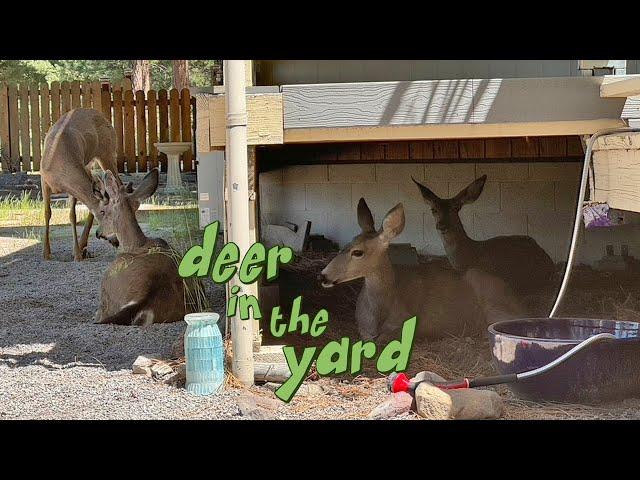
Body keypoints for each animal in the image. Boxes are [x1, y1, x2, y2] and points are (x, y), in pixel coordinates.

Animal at [40, 108, 122, 260]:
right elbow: (47, 213)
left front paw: (77, 254)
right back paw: (83, 247)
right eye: (104, 212)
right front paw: (46, 253)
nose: (116, 240)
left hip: (108, 152)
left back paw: (82, 247)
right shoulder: (44, 180)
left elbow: (72, 215)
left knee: (119, 184)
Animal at [318, 198, 524, 342]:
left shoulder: (410, 322)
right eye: (345, 245)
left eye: (358, 252)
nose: (323, 275)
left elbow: (386, 337)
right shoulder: (362, 328)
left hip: (494, 303)